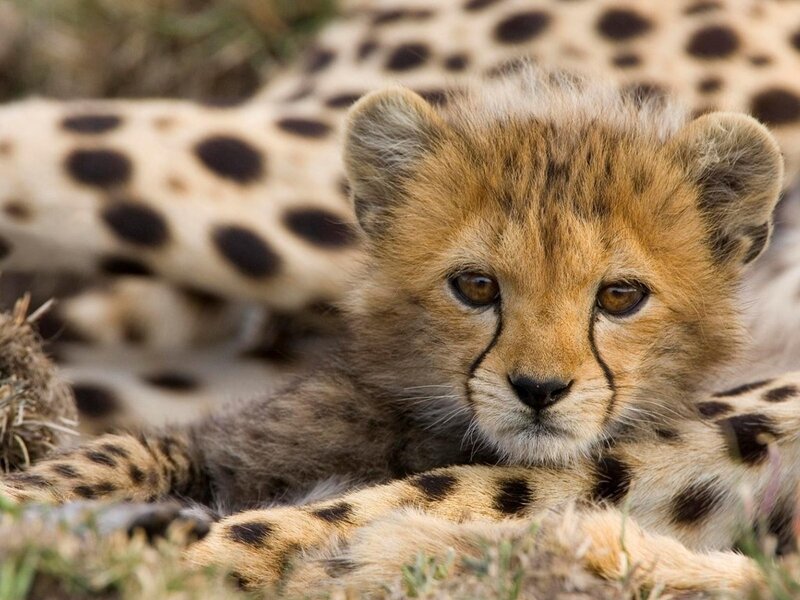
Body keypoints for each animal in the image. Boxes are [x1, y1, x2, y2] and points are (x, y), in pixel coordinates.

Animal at [2, 67, 797, 596]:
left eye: (621, 295)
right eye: (476, 286)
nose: (539, 390)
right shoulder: (218, 443)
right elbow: (118, 455)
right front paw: (40, 508)